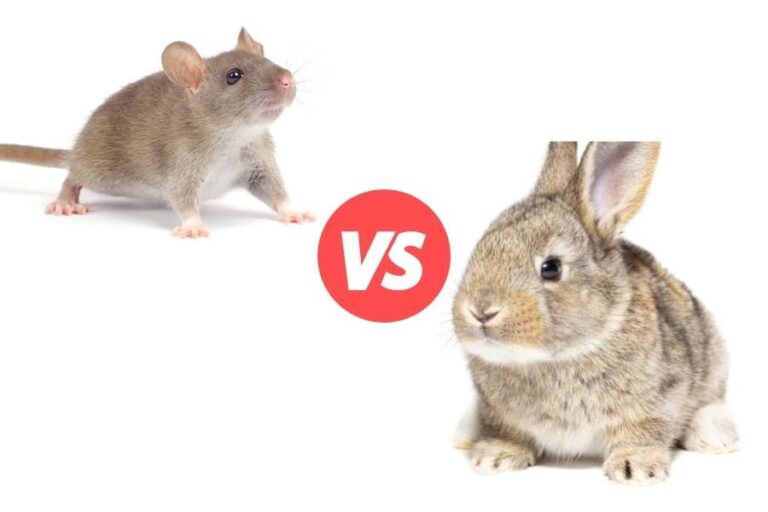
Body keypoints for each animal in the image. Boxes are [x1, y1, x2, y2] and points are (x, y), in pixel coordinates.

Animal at [451, 142, 738, 485]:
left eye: (551, 268)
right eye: (480, 248)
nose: (480, 311)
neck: (560, 357)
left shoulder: (658, 400)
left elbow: (643, 431)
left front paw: (636, 468)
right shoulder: (499, 414)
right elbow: (507, 432)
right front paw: (496, 458)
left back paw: (715, 437)